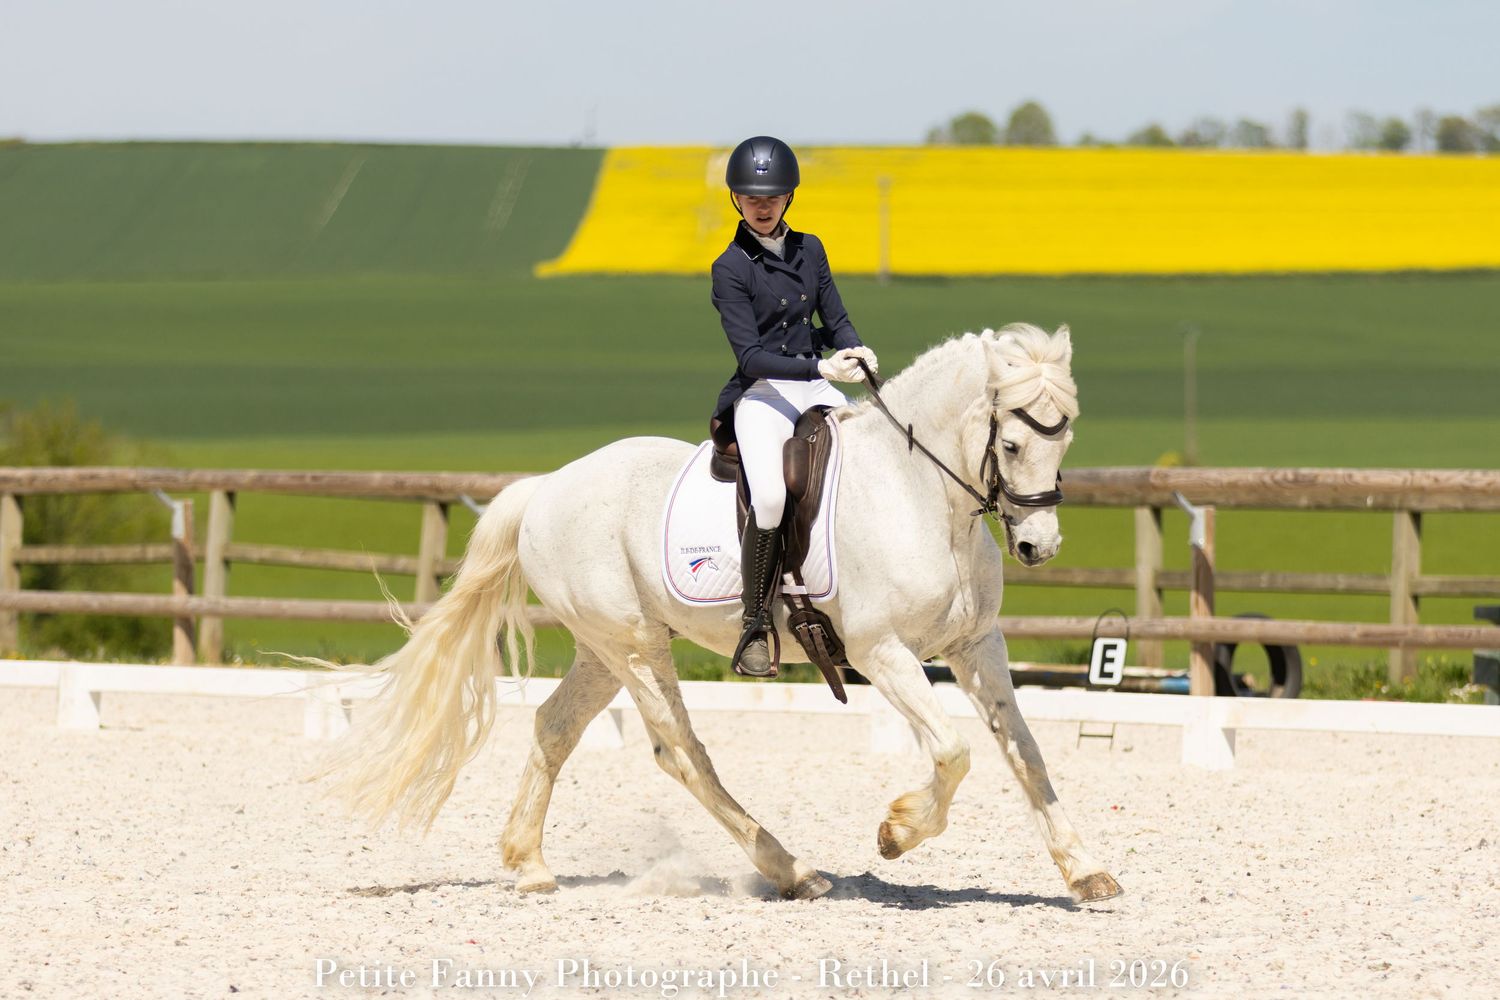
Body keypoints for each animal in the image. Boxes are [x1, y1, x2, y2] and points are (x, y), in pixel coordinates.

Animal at [317, 322, 1122, 904]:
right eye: (1011, 442)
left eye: (1066, 437)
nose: (1038, 545)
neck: (922, 495)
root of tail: (547, 485)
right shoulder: (880, 651)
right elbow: (954, 751)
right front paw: (897, 833)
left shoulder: (978, 646)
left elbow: (1027, 754)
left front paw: (1084, 873)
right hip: (637, 646)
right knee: (680, 751)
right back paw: (793, 871)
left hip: (604, 647)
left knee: (554, 727)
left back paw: (530, 866)